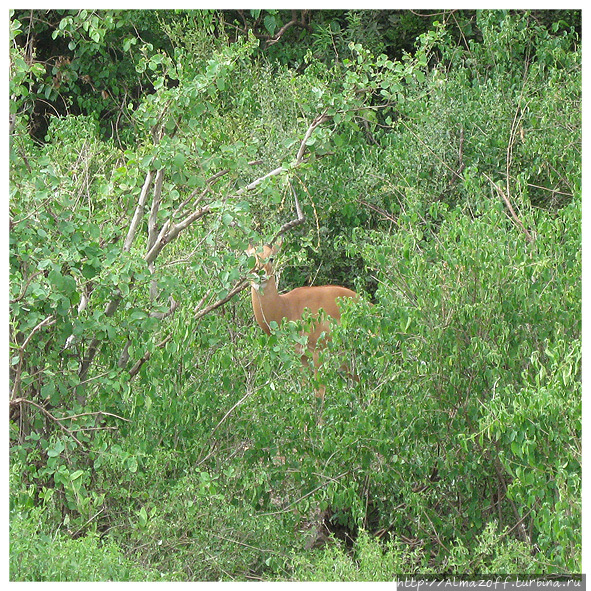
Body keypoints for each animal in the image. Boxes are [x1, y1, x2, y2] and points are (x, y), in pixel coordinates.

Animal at [245, 240, 356, 398]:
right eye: (250, 257)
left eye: (271, 258)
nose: (258, 272)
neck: (287, 307)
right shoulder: (301, 357)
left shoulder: (318, 354)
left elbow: (319, 393)